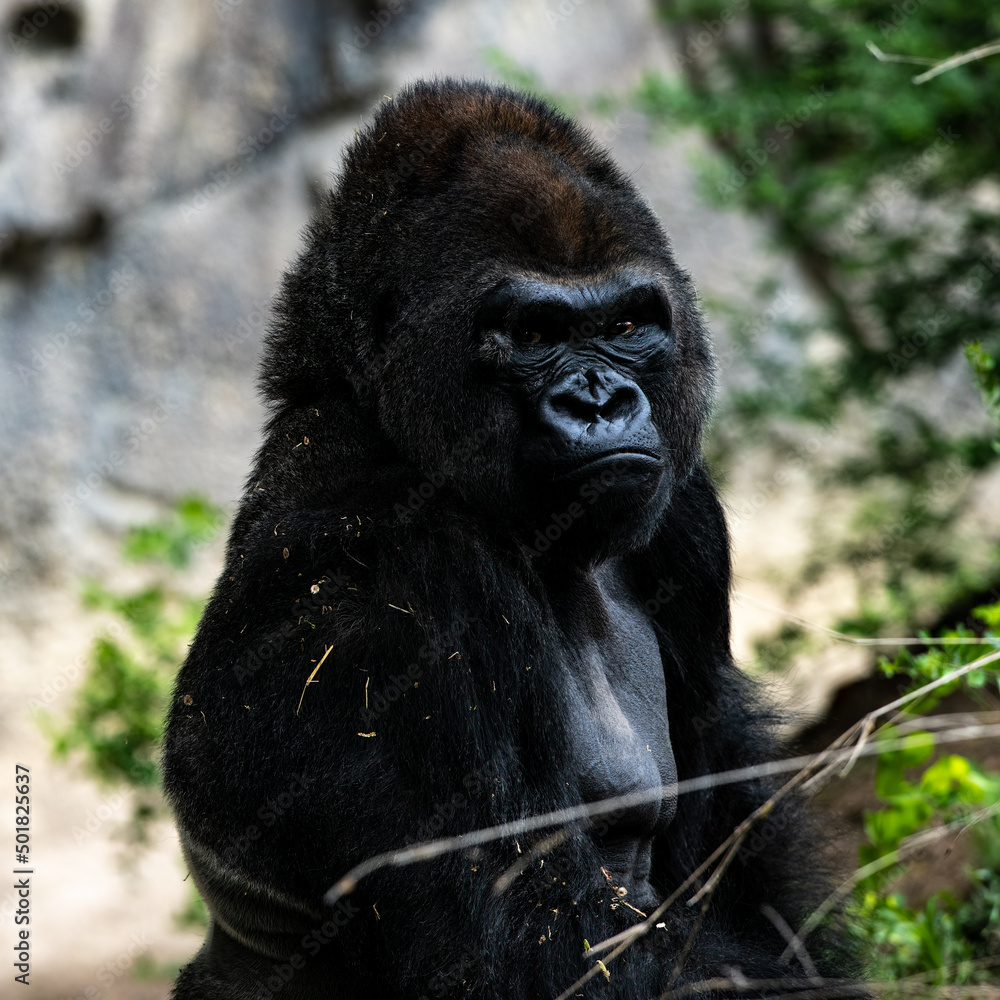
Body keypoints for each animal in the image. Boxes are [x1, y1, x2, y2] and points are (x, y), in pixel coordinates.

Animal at [166, 80, 860, 1000]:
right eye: (533, 335)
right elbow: (520, 943)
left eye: (628, 325)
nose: (601, 401)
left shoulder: (685, 513)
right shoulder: (396, 568)